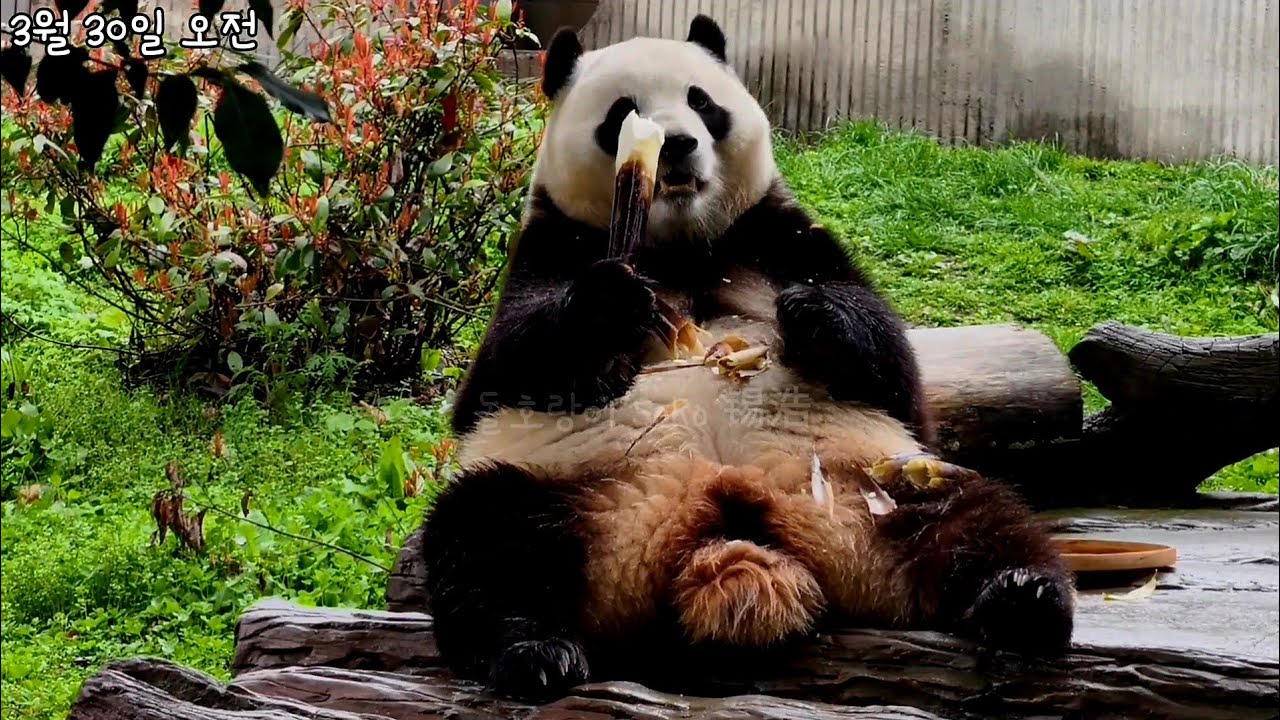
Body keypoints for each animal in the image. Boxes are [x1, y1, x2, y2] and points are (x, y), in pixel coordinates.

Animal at [419, 15, 1076, 702]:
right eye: (624, 111)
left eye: (702, 102)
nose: (678, 145)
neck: (680, 247)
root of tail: (718, 537)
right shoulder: (550, 245)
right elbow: (502, 374)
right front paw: (611, 307)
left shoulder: (778, 235)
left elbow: (895, 369)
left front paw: (812, 315)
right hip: (577, 494)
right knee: (486, 541)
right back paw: (535, 652)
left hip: (871, 485)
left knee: (978, 519)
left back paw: (1022, 599)